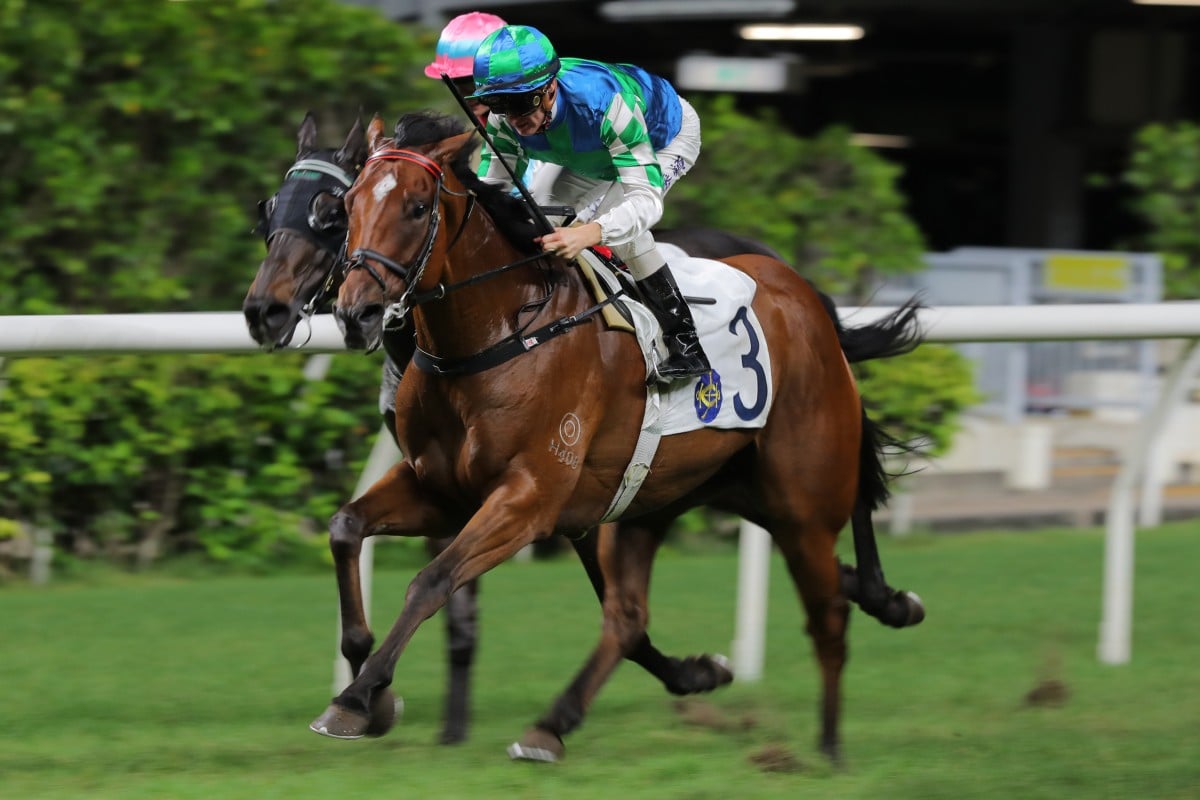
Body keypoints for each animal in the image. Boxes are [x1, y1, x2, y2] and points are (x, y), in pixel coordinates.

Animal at [312, 112, 926, 762]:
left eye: (415, 206)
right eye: (348, 205)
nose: (356, 312)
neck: (499, 335)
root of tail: (802, 289)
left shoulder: (528, 498)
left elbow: (432, 579)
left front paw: (358, 697)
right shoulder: (442, 489)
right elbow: (345, 528)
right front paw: (365, 677)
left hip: (804, 478)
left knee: (830, 579)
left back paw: (833, 734)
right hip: (680, 492)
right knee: (630, 615)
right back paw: (562, 721)